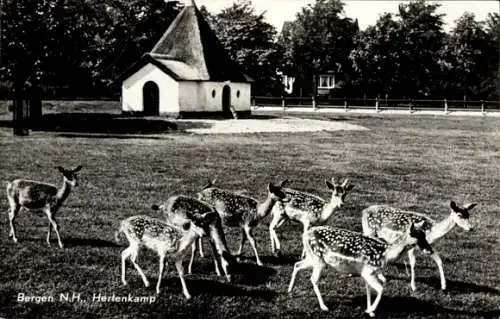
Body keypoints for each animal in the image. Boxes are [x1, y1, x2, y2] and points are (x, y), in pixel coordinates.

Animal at [290, 224, 434, 318]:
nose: (430, 250)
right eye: (418, 237)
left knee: (297, 264)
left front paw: (370, 310)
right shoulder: (368, 271)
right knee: (313, 279)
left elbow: (371, 287)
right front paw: (370, 310)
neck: (385, 254)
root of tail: (305, 235)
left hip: (313, 257)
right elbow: (381, 288)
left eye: (425, 235)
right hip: (318, 259)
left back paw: (290, 290)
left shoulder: (368, 273)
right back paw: (324, 306)